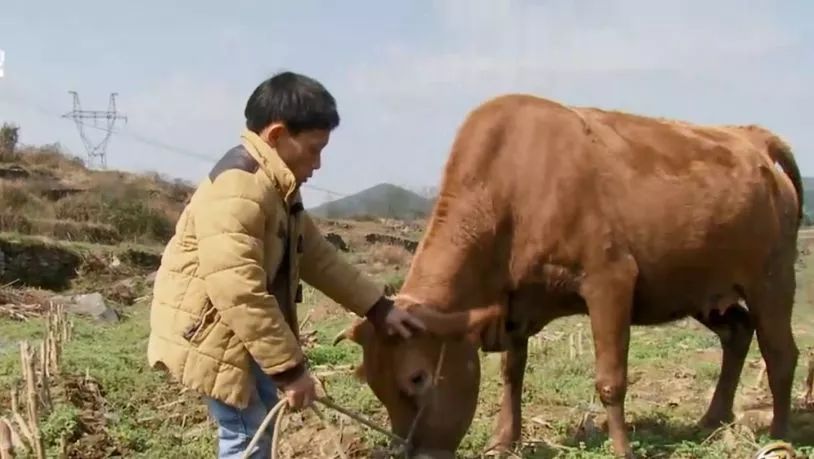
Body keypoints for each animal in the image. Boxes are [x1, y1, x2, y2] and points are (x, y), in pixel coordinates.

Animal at [333, 94, 804, 458]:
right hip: (699, 288)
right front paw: (503, 441)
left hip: (772, 278)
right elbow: (512, 372)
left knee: (781, 354)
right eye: (371, 382)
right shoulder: (516, 303)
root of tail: (750, 136)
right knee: (737, 333)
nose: (413, 451)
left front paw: (622, 449)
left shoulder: (610, 280)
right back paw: (711, 419)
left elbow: (610, 380)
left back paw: (779, 435)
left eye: (416, 378)